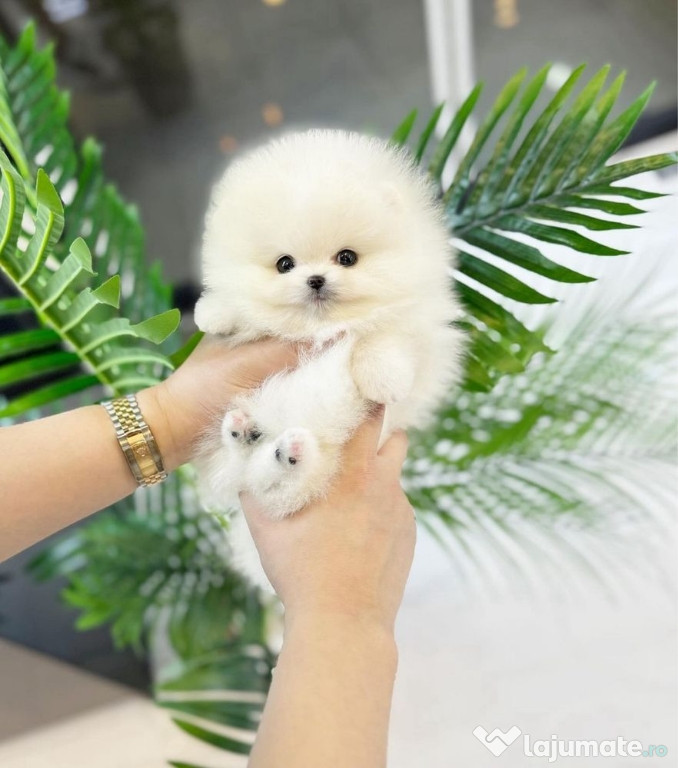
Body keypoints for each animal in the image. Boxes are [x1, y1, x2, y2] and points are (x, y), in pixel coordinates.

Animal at [194, 130, 464, 588]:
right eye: (285, 264)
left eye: (347, 257)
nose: (316, 279)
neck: (322, 328)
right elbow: (239, 309)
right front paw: (212, 312)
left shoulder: (417, 324)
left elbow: (384, 336)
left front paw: (385, 378)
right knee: (256, 475)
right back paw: (248, 435)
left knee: (280, 481)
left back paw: (283, 450)